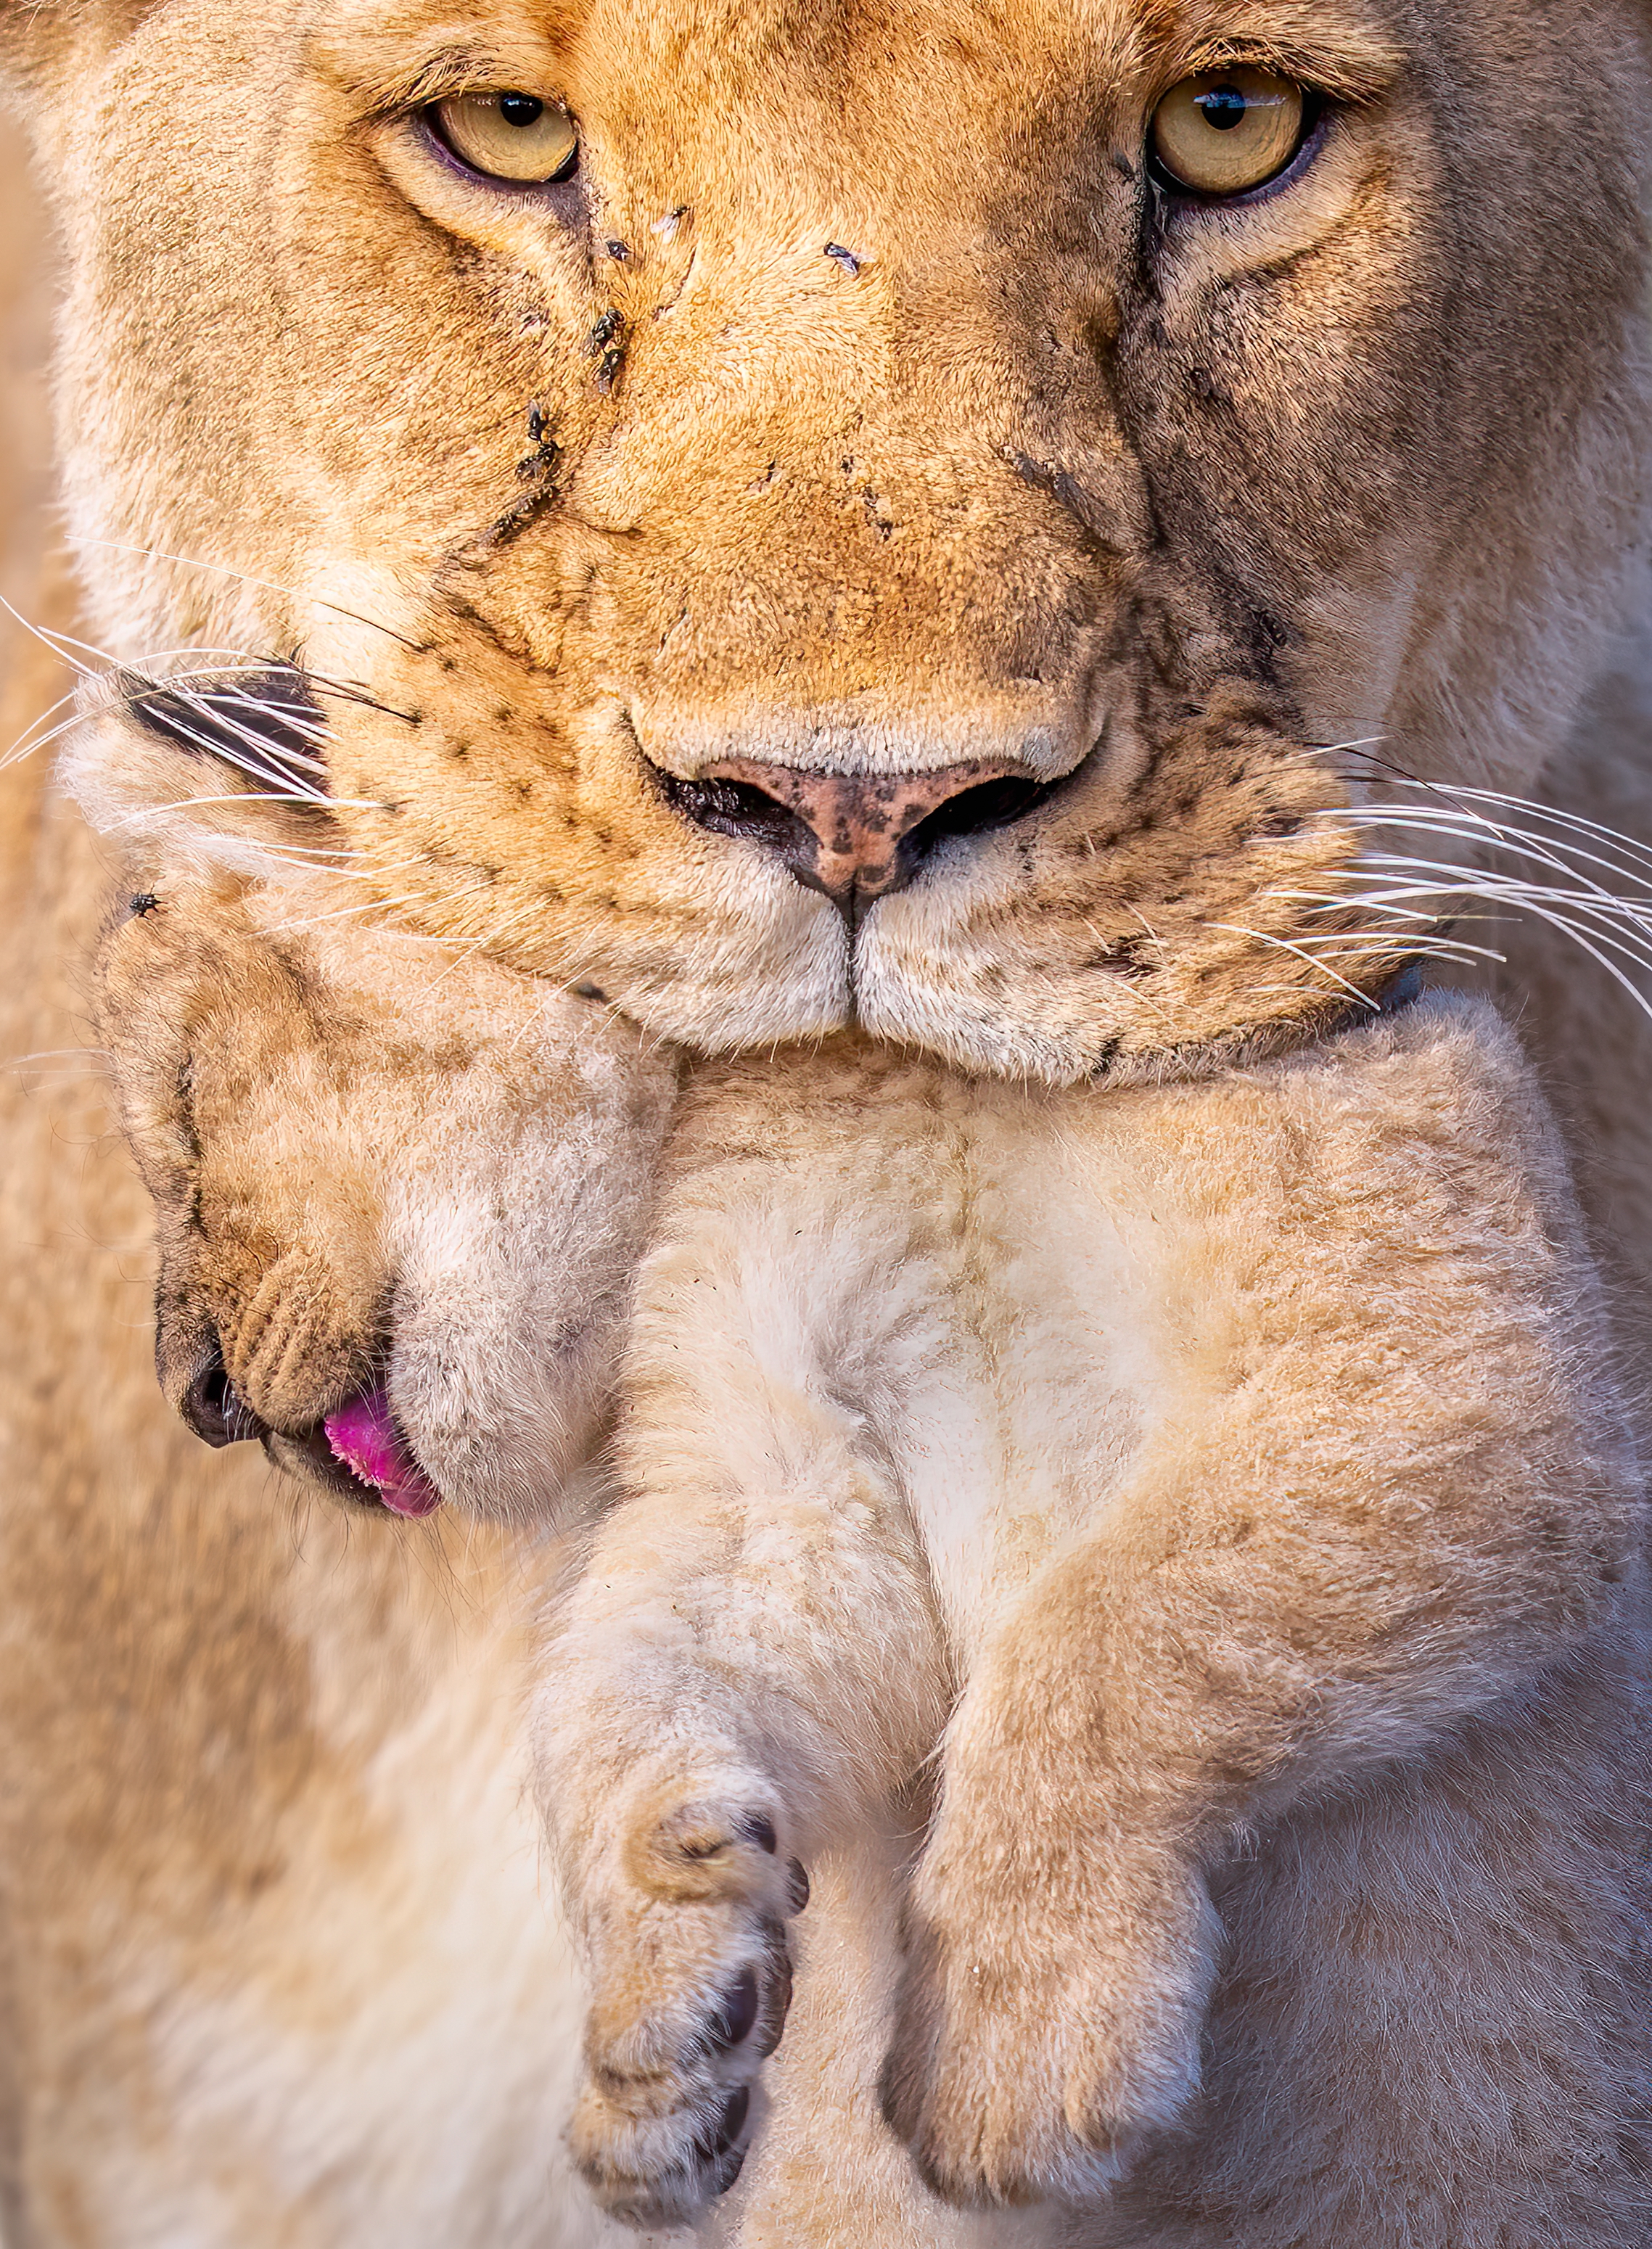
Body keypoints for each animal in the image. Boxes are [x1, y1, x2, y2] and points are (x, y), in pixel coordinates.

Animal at [3, 0, 1652, 2241]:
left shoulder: (1453, 1376)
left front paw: (1013, 2056)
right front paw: (662, 2002)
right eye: (504, 129)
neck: (909, 1111)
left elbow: (1150, 1627)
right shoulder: (768, 1462)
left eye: (1230, 125)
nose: (858, 806)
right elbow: (700, 1665)